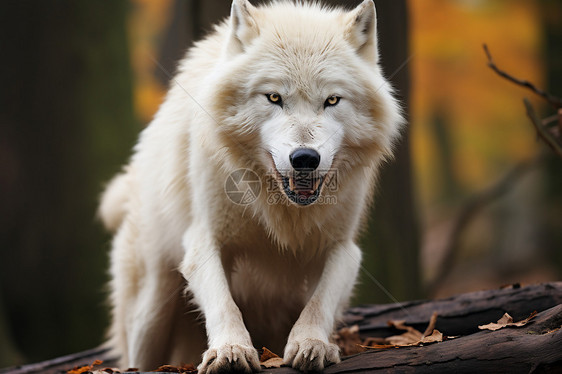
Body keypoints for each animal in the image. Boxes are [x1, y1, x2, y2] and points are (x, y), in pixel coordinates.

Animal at [98, 1, 400, 372]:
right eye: (274, 97)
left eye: (332, 100)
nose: (305, 158)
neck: (280, 208)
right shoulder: (205, 238)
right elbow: (224, 302)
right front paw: (231, 350)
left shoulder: (343, 247)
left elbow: (319, 302)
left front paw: (311, 344)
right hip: (151, 310)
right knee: (137, 356)